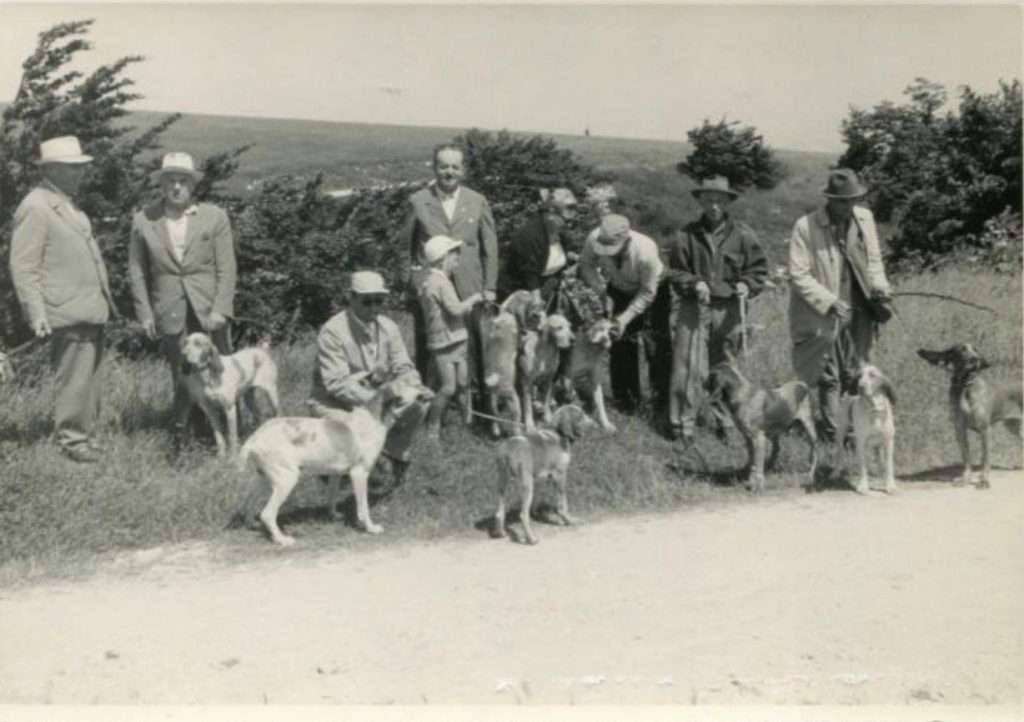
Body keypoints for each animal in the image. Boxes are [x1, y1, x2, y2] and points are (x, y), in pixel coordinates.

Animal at [235, 372, 432, 544]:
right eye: (410, 384)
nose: (426, 389)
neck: (374, 417)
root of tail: (255, 437)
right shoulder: (359, 474)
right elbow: (363, 507)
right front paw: (370, 528)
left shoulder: (336, 474)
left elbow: (331, 496)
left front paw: (333, 515)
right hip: (287, 480)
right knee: (267, 514)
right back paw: (282, 540)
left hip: (264, 478)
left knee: (249, 502)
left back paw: (252, 524)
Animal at [491, 403, 598, 544]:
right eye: (580, 416)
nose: (595, 424)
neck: (558, 433)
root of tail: (508, 450)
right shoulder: (560, 475)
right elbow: (563, 503)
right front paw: (568, 520)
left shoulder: (542, 479)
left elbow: (539, 501)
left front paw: (539, 515)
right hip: (526, 485)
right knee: (522, 515)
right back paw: (531, 538)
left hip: (503, 484)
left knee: (499, 512)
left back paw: (500, 533)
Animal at [704, 358, 815, 493]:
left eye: (710, 375)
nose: (702, 383)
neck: (742, 394)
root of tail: (803, 385)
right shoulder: (749, 439)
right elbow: (753, 464)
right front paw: (751, 483)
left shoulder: (758, 439)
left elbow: (758, 466)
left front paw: (759, 486)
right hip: (774, 434)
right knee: (776, 450)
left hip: (810, 430)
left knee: (814, 453)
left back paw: (810, 474)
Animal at [839, 360, 897, 495]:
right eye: (859, 376)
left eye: (872, 375)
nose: (860, 386)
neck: (874, 410)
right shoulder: (861, 442)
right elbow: (863, 466)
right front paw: (863, 486)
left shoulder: (888, 441)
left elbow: (888, 465)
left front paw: (889, 485)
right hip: (841, 433)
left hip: (877, 445)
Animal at [917, 340, 1019, 487]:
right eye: (962, 349)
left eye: (976, 349)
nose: (975, 359)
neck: (964, 386)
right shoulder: (959, 429)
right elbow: (966, 456)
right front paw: (965, 478)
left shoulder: (984, 429)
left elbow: (985, 458)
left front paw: (984, 480)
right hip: (1014, 427)